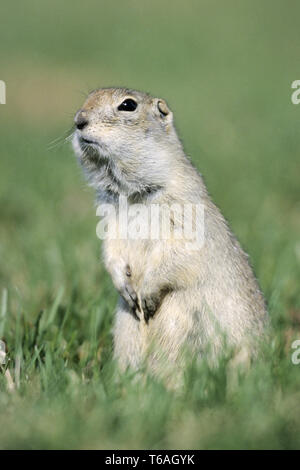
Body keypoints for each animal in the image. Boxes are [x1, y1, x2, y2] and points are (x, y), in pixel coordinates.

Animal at [71, 87, 268, 382]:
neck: (131, 193)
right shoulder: (110, 219)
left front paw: (147, 295)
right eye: (88, 96)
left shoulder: (185, 213)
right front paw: (125, 288)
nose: (78, 121)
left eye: (127, 105)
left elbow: (179, 251)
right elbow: (111, 249)